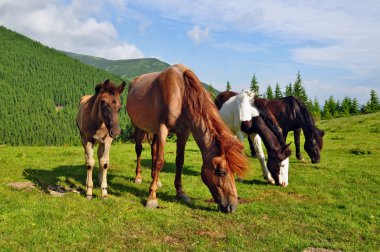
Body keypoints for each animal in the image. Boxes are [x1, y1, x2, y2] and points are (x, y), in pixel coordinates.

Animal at [126, 63, 248, 213]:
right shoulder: (163, 128)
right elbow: (160, 161)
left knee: (153, 149)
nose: (232, 207)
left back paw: (156, 179)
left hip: (154, 130)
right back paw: (138, 177)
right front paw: (152, 197)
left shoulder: (183, 132)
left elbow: (179, 161)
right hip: (138, 126)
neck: (181, 93)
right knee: (139, 149)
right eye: (222, 172)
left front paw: (180, 192)